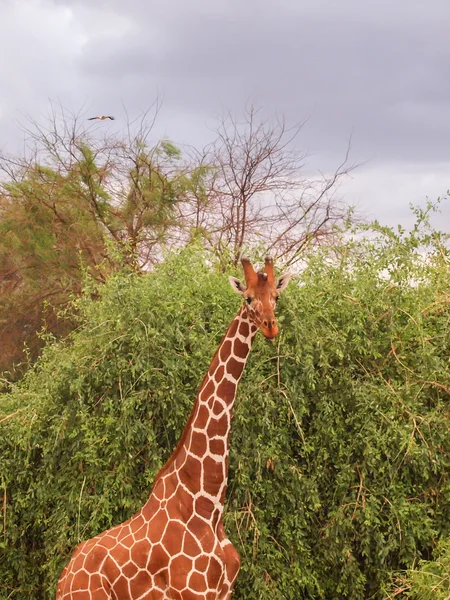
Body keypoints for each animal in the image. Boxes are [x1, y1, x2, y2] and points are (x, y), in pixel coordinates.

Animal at [57, 256, 292, 600]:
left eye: (276, 296)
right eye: (248, 298)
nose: (270, 327)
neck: (207, 504)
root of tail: (63, 578)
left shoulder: (223, 591)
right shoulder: (194, 592)